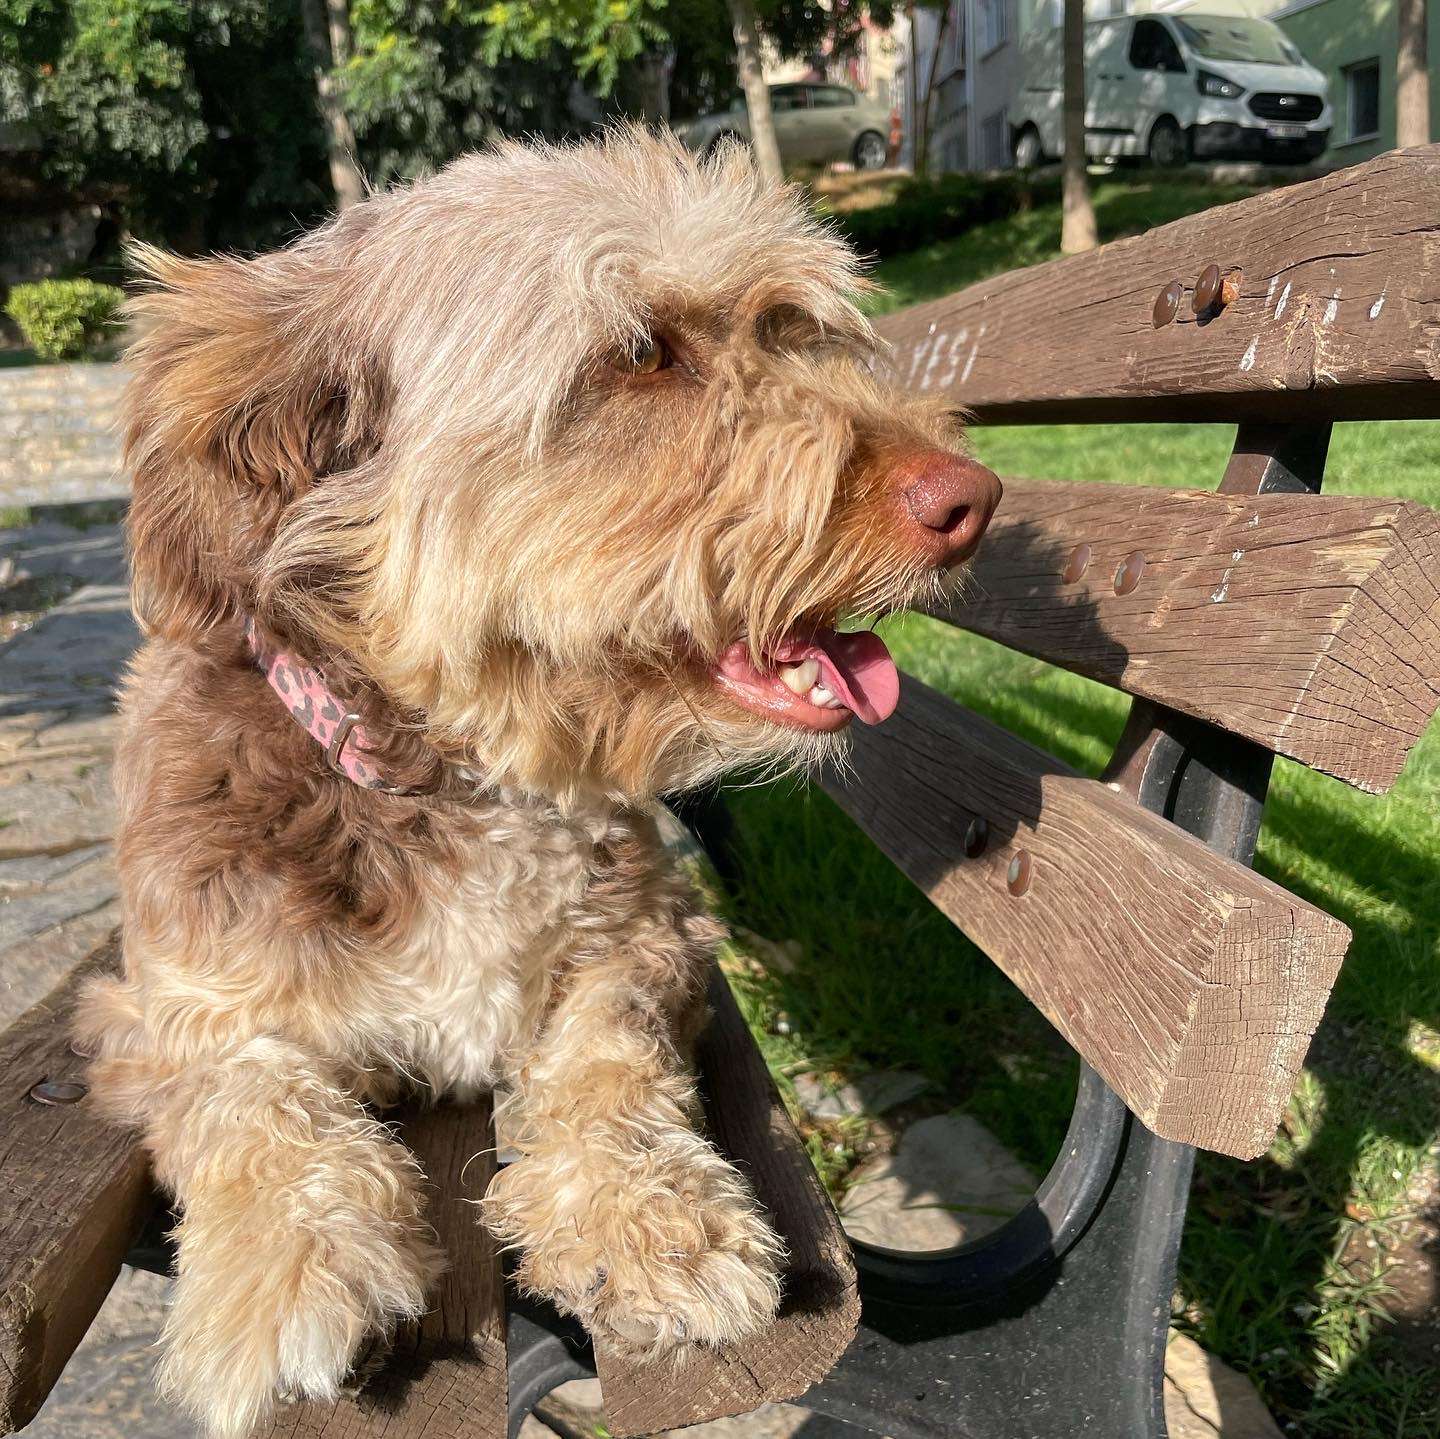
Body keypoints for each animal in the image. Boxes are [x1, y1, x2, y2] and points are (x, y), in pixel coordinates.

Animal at [75, 129, 1002, 1434]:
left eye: (789, 326)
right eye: (641, 355)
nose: (970, 497)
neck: (457, 776)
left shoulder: (650, 934)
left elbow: (606, 1055)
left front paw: (649, 1214)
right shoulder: (162, 999)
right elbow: (251, 1093)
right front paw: (284, 1265)